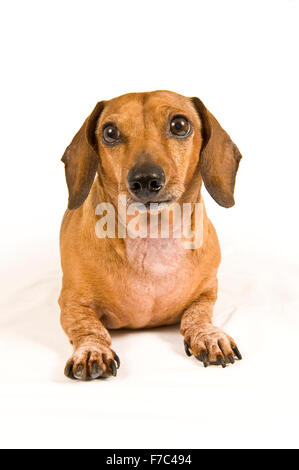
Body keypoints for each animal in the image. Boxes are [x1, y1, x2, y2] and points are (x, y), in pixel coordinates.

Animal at [59, 90, 244, 380]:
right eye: (110, 132)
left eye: (179, 125)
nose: (145, 180)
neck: (152, 238)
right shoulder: (71, 303)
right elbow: (89, 328)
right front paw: (92, 350)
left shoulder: (207, 293)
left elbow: (198, 316)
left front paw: (209, 335)